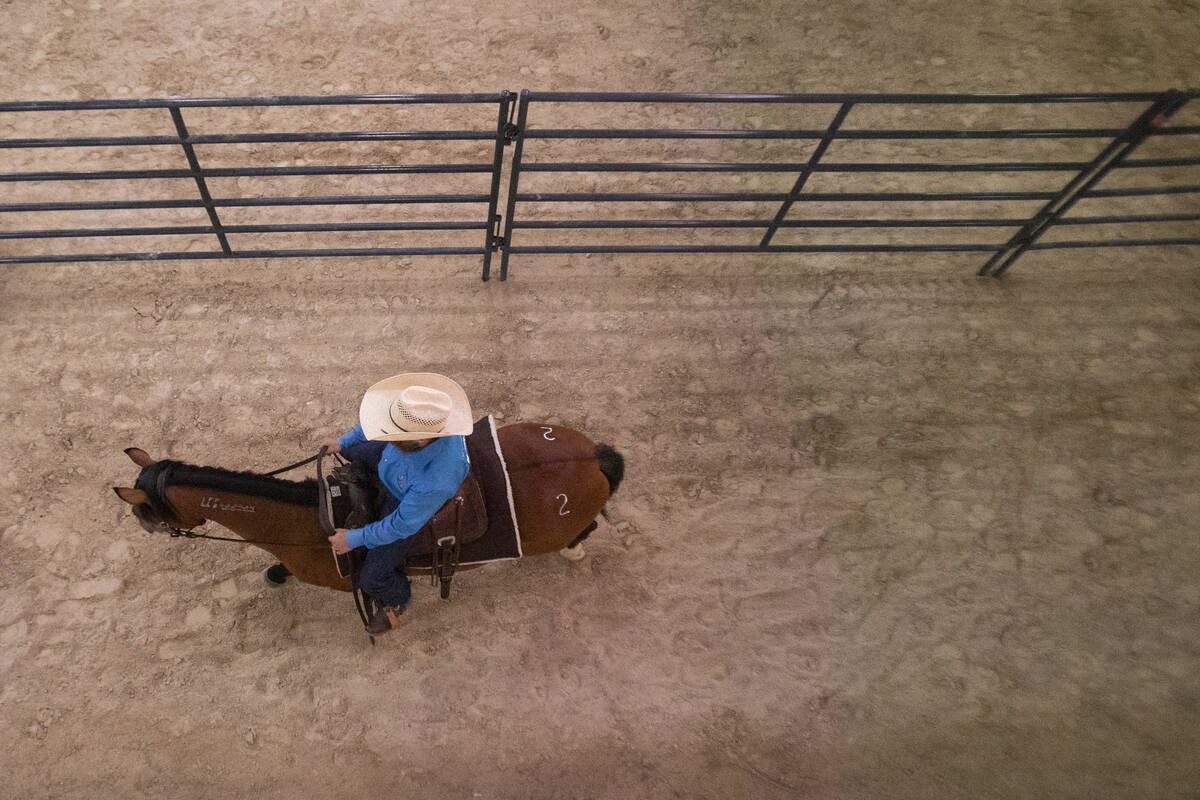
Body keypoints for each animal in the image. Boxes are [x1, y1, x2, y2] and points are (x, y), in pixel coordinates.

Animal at [112, 422, 624, 592]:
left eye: (148, 508)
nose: (142, 523)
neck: (309, 521)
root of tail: (589, 456)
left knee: (585, 532)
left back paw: (575, 550)